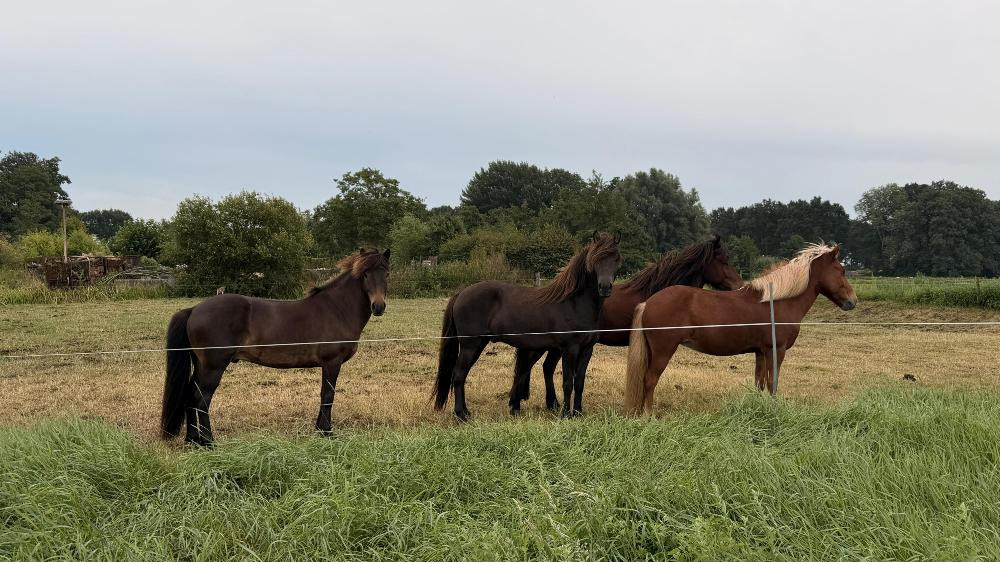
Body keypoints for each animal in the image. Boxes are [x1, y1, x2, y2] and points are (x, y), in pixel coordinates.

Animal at [160, 248, 390, 446]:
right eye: (365, 274)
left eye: (386, 274)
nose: (378, 306)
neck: (337, 309)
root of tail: (194, 309)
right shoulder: (332, 363)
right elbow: (327, 395)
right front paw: (327, 432)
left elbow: (324, 395)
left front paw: (319, 429)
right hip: (213, 366)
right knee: (201, 399)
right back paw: (208, 442)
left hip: (201, 364)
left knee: (190, 395)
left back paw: (193, 440)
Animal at [433, 232, 622, 420]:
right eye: (595, 258)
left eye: (616, 258)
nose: (605, 287)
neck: (574, 303)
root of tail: (461, 293)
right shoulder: (570, 348)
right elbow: (568, 382)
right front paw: (565, 414)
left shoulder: (587, 349)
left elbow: (580, 382)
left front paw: (577, 412)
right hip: (470, 345)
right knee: (458, 375)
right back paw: (461, 415)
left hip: (479, 344)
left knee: (462, 375)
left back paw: (466, 412)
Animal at [510, 236, 743, 414]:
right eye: (723, 261)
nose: (740, 286)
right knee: (527, 366)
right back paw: (516, 404)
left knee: (546, 367)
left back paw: (550, 405)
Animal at [623, 243, 857, 414]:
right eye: (841, 270)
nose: (852, 301)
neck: (777, 301)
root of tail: (648, 302)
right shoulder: (776, 351)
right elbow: (772, 383)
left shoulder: (761, 352)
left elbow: (760, 383)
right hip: (664, 351)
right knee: (650, 380)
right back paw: (649, 415)